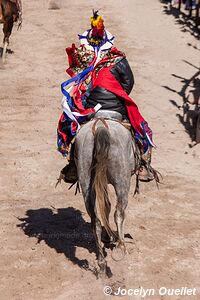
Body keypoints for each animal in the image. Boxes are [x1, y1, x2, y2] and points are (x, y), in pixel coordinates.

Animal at [74, 112, 138, 276]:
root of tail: (100, 125)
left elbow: (106, 207)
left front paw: (108, 235)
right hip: (122, 181)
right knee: (119, 213)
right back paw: (121, 246)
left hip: (86, 180)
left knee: (95, 219)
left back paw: (102, 262)